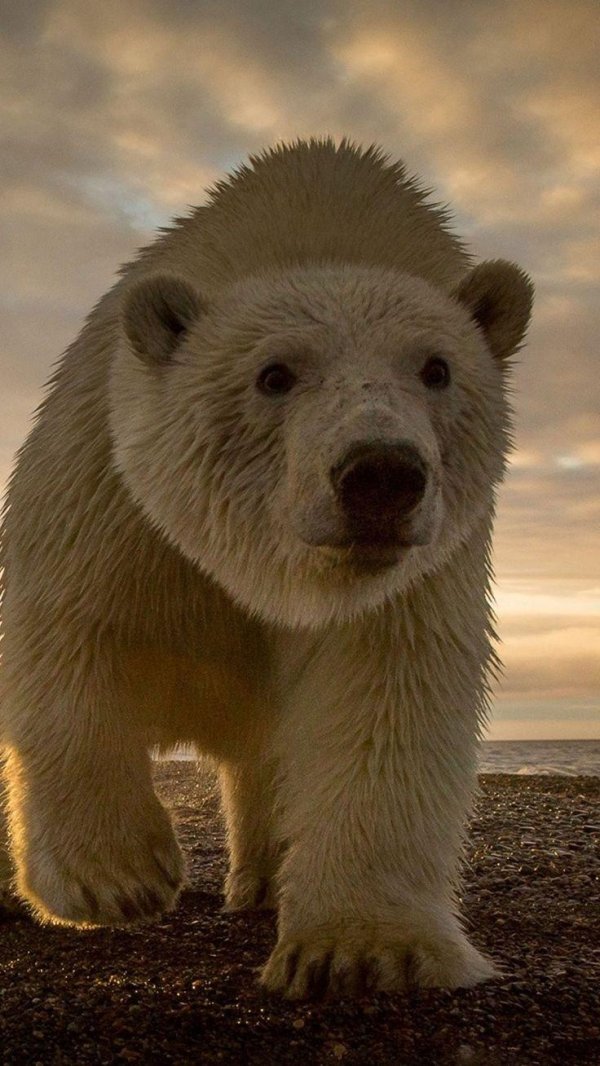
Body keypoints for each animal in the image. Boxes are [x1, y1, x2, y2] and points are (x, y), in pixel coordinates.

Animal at [0, 136, 533, 998]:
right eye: (274, 373)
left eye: (437, 368)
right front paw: (116, 876)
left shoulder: (413, 574)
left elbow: (387, 696)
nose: (381, 474)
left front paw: (361, 949)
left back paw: (262, 878)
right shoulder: (111, 493)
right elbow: (72, 635)